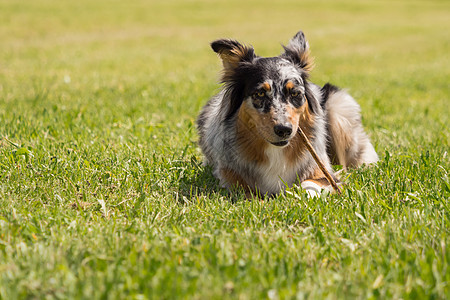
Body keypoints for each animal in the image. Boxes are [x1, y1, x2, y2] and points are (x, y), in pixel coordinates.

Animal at [199, 29, 378, 195]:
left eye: (295, 93)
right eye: (260, 94)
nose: (284, 130)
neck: (275, 151)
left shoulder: (323, 173)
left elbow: (309, 183)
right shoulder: (229, 178)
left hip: (339, 108)